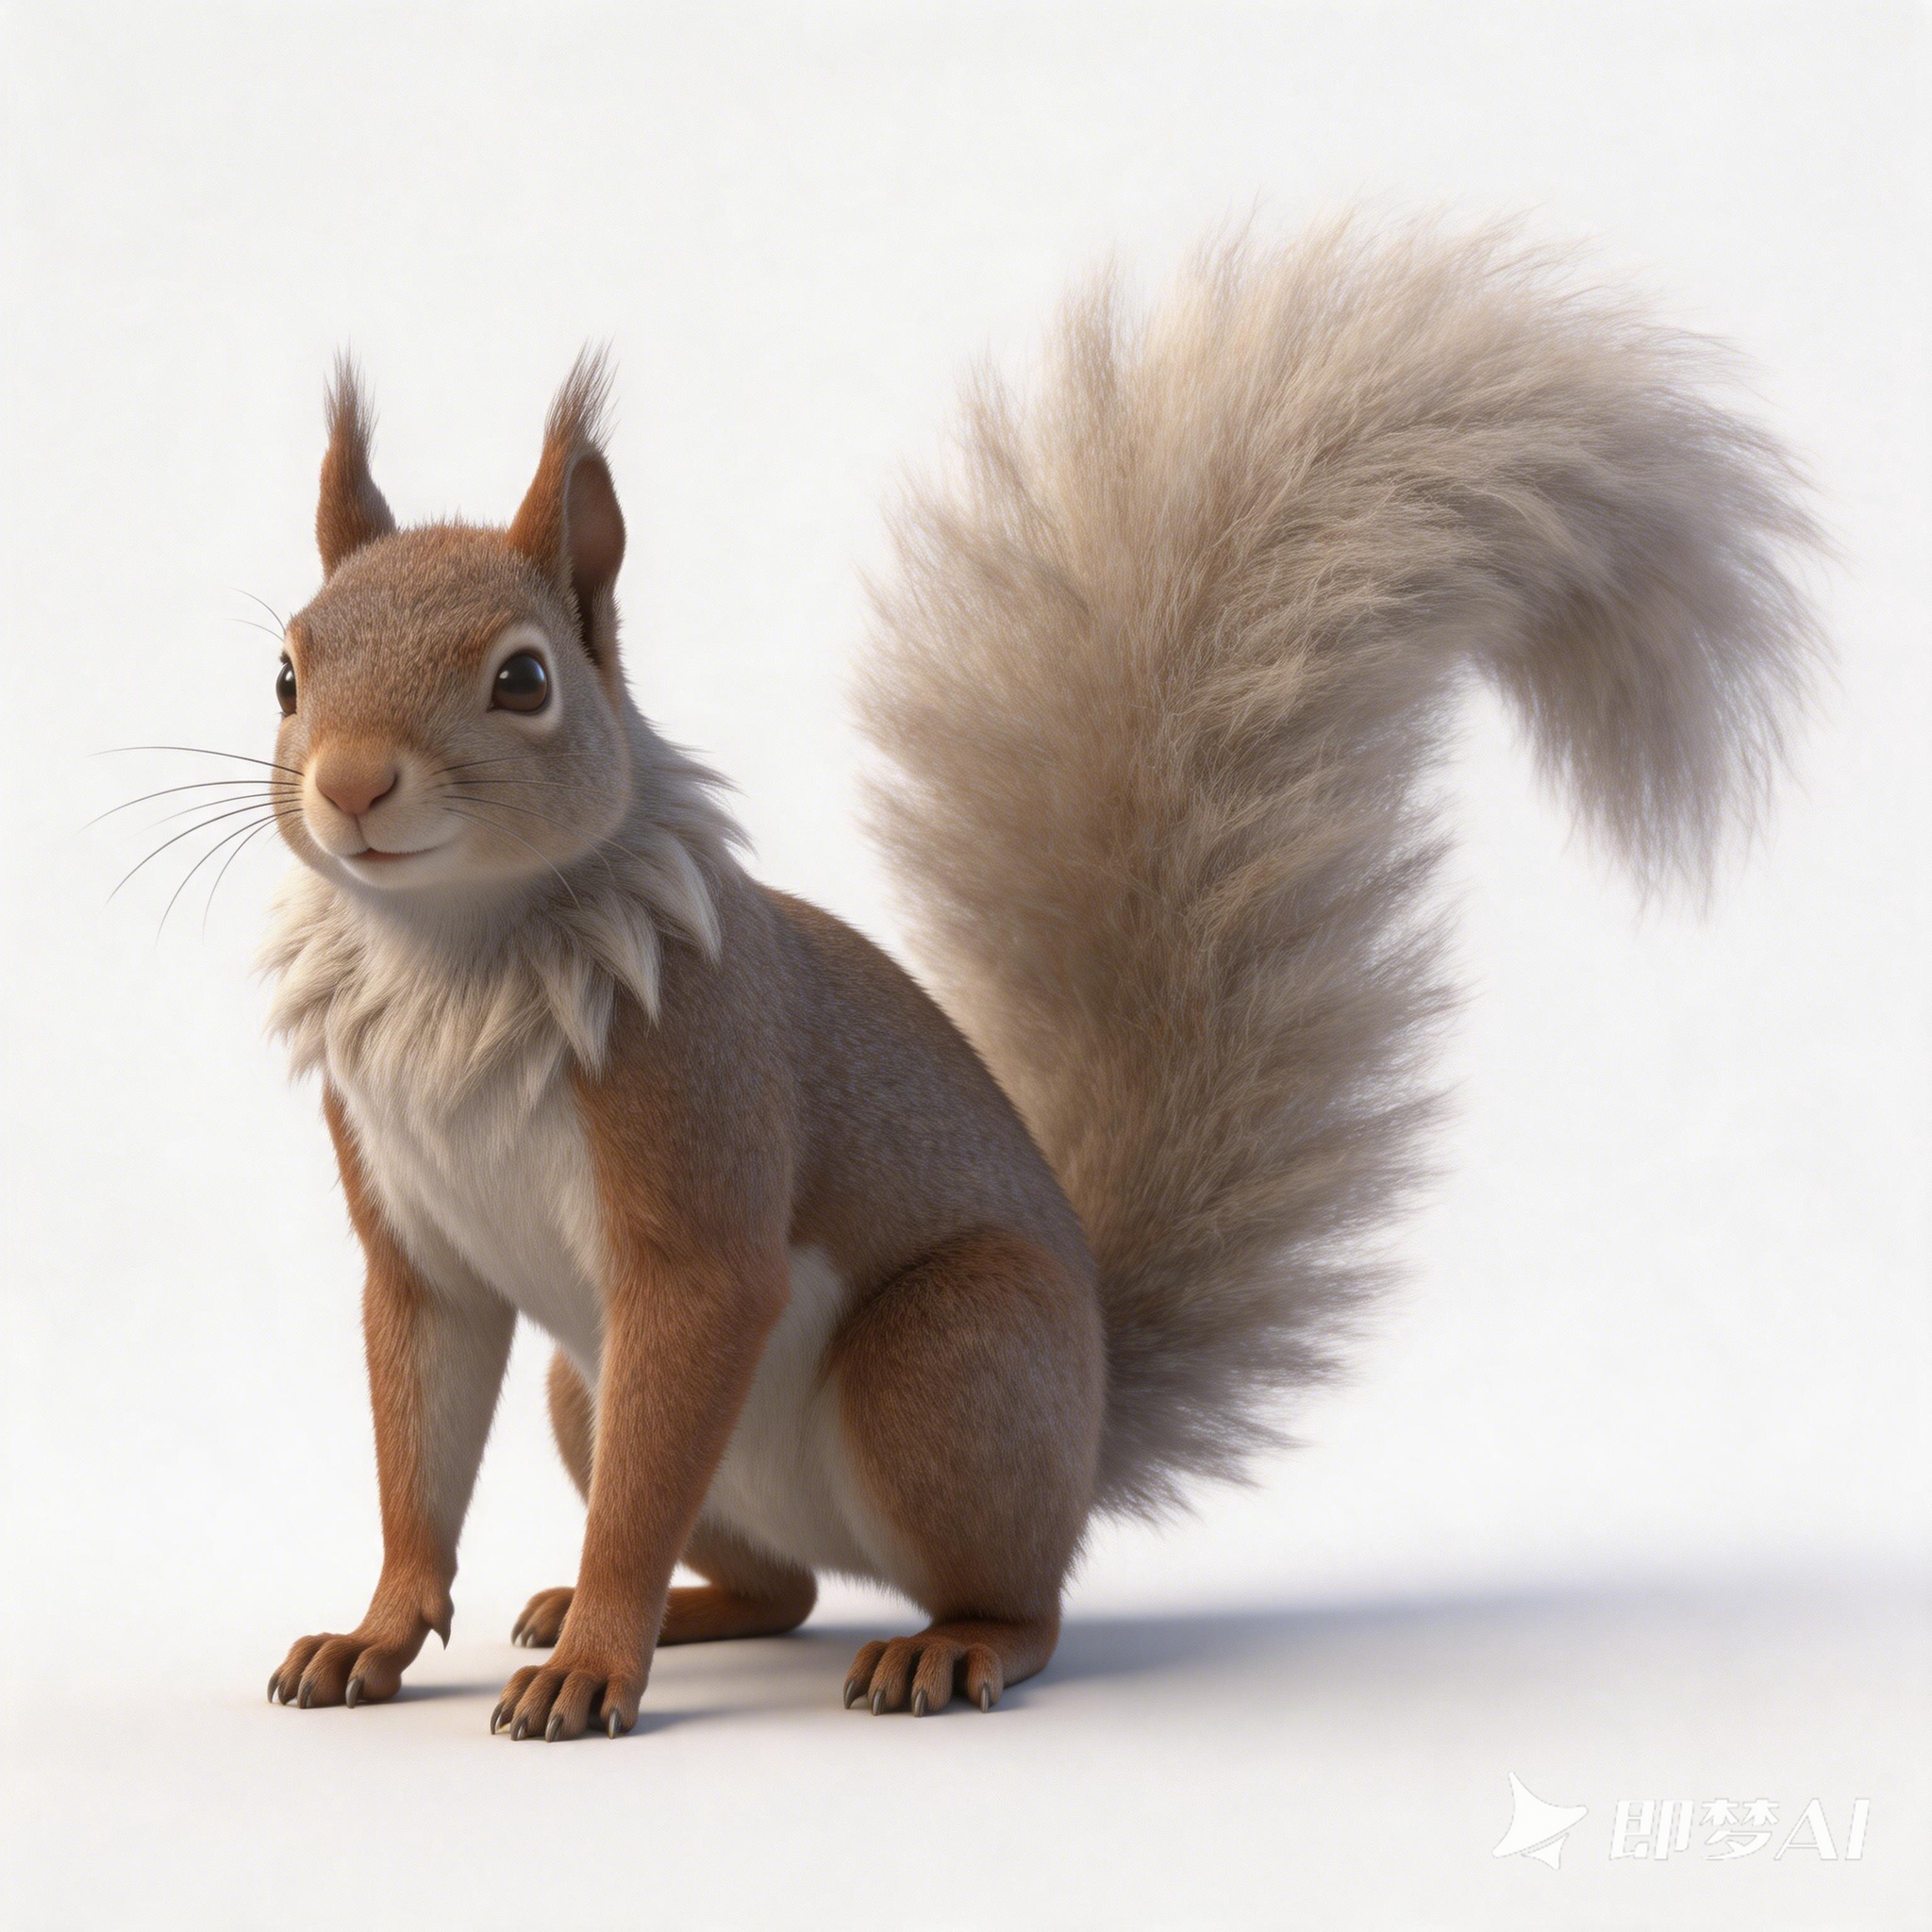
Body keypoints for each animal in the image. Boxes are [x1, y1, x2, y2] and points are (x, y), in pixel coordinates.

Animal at [258, 220, 1822, 1739]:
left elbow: (667, 1406)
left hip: (947, 1362)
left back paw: (935, 1649)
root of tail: (1087, 1426)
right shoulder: (414, 1244)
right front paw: (373, 1637)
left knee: (1020, 1600)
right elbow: (417, 1441)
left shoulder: (696, 1125)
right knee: (779, 1586)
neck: (455, 956)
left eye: (525, 681)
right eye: (285, 672)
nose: (350, 786)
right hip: (594, 1397)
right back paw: (664, 1609)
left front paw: (593, 1669)